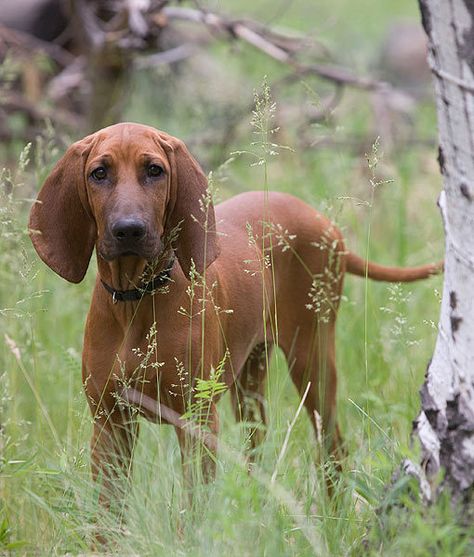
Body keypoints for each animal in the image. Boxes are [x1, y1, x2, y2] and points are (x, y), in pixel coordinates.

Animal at [27, 121, 438, 496]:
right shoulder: (110, 423)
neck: (137, 299)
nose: (129, 230)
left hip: (313, 361)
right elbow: (107, 516)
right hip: (249, 380)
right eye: (99, 173)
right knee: (258, 448)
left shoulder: (196, 419)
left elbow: (193, 508)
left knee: (333, 450)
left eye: (154, 170)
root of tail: (326, 224)